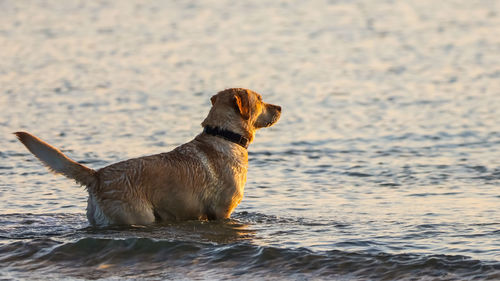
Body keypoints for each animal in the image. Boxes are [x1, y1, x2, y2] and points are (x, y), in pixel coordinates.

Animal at [14, 88, 282, 224]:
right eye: (260, 100)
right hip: (139, 216)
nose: (280, 107)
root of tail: (97, 175)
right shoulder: (221, 211)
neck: (224, 135)